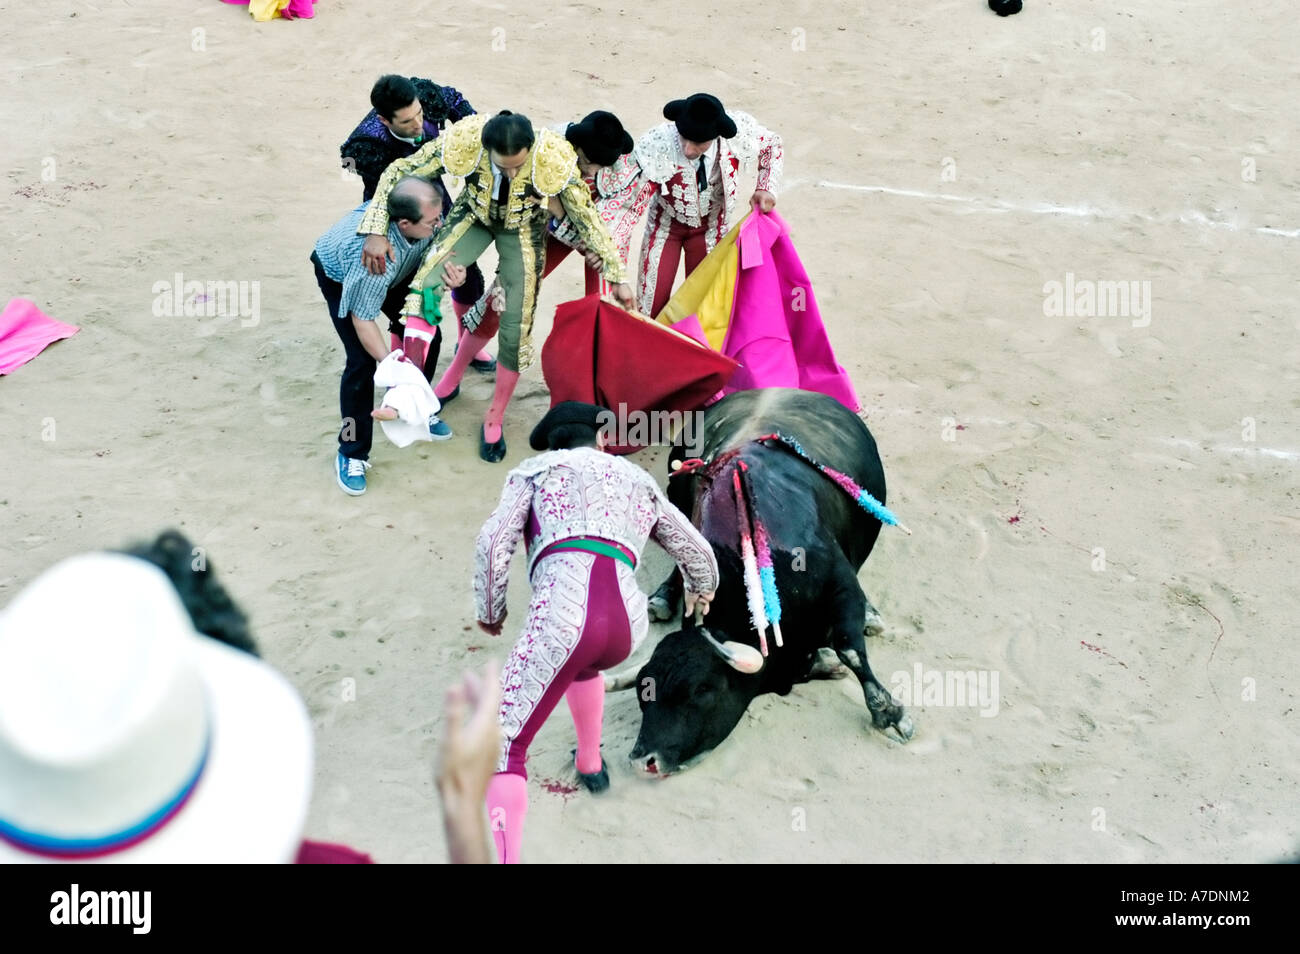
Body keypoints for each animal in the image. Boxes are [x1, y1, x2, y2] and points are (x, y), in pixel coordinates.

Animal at [605, 389, 915, 779]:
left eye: (701, 689)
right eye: (644, 690)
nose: (644, 760)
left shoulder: (841, 587)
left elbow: (850, 650)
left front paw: (890, 714)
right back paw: (662, 597)